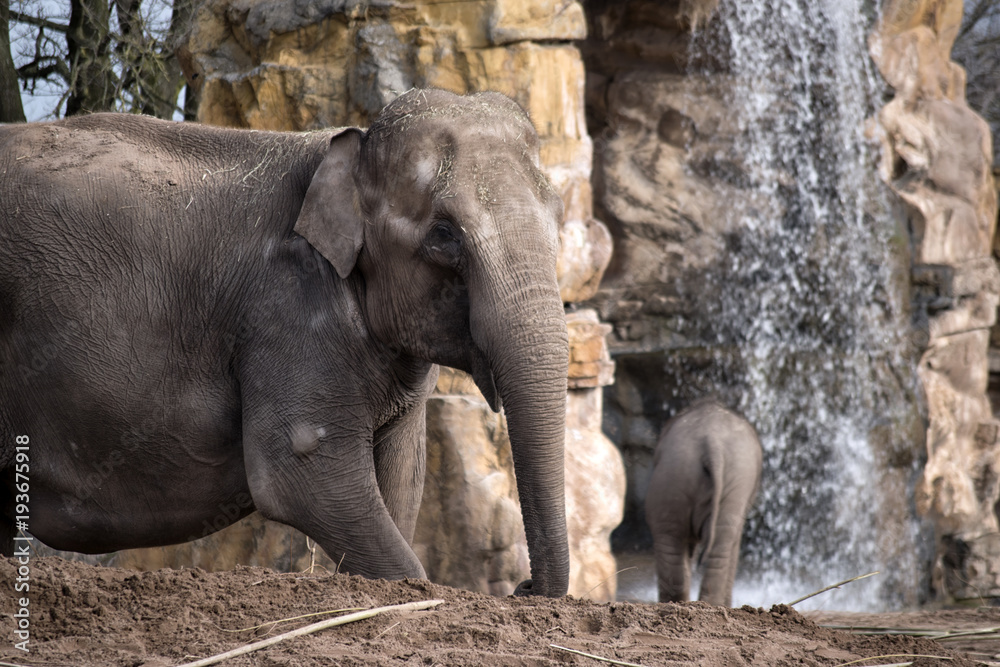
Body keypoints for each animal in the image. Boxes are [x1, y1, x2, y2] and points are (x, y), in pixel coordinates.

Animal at [0, 88, 570, 597]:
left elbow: (402, 478)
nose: (523, 588)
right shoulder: (287, 308)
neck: (343, 149)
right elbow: (301, 473)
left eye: (560, 219)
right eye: (445, 235)